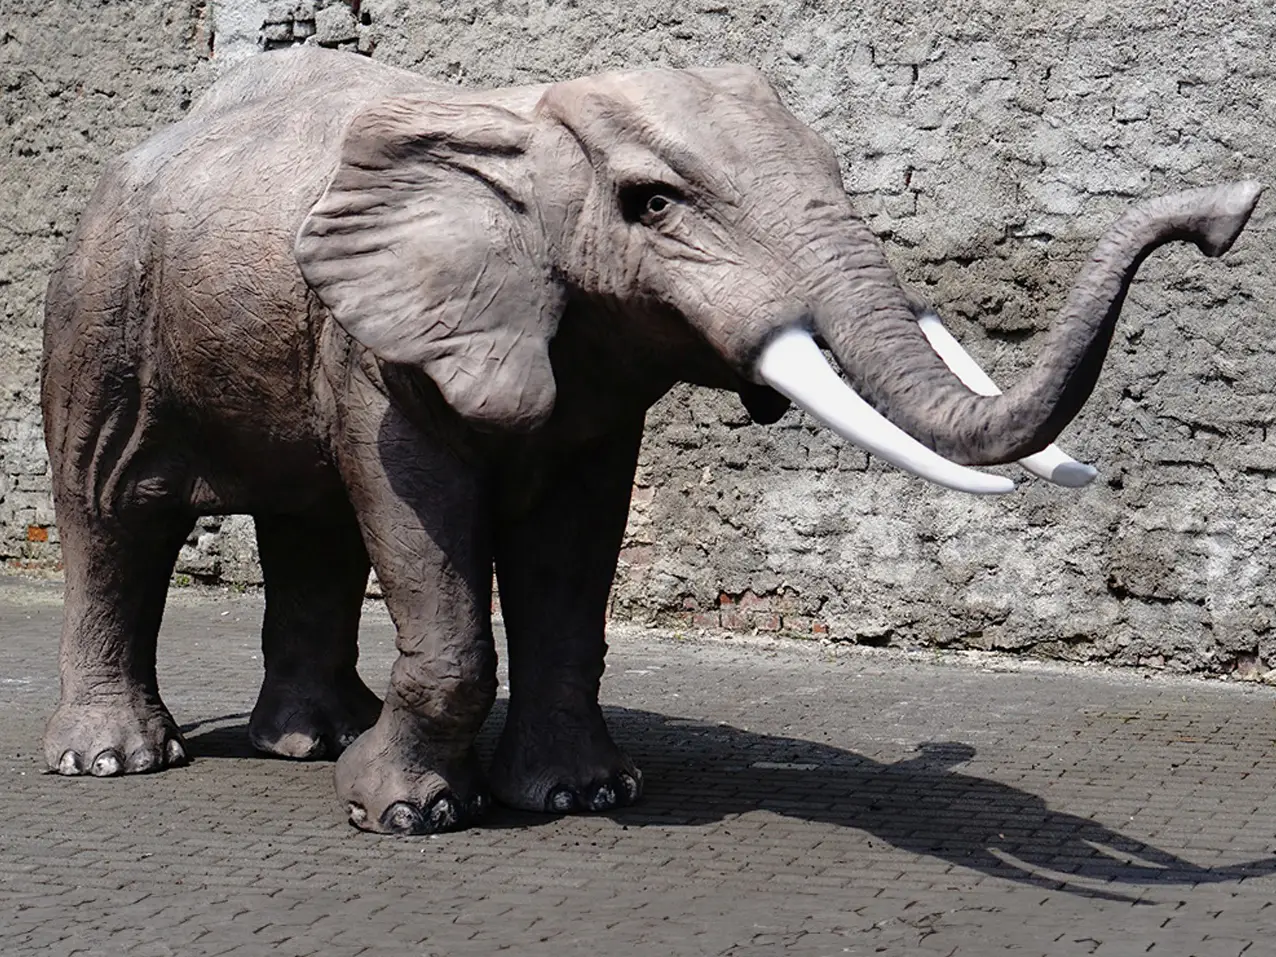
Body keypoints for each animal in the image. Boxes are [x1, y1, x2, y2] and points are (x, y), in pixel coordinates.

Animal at [40, 45, 1260, 835]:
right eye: (653, 204)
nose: (1228, 213)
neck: (527, 120)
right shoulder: (378, 347)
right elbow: (419, 507)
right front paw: (405, 817)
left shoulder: (585, 357)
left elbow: (573, 545)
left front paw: (585, 798)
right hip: (99, 301)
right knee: (111, 513)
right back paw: (113, 760)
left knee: (312, 526)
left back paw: (313, 741)